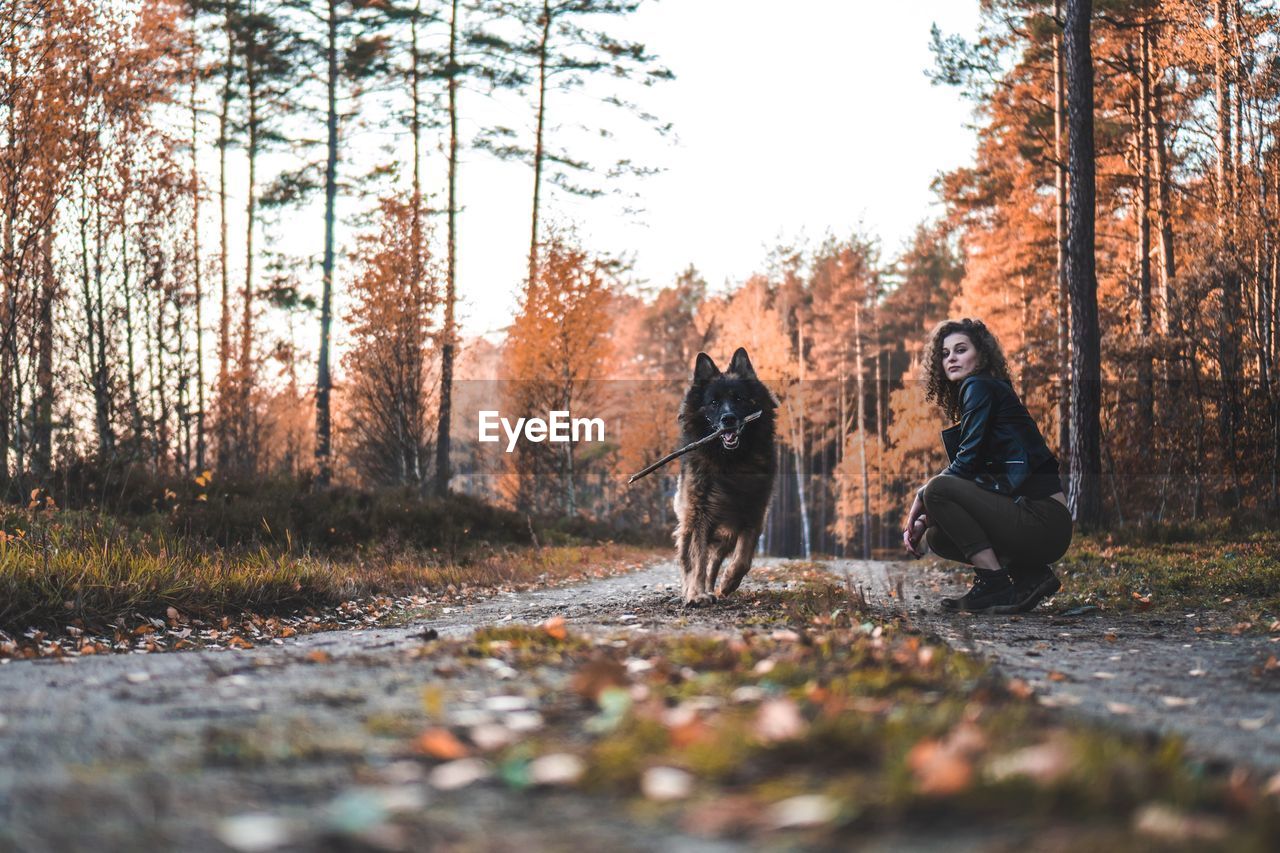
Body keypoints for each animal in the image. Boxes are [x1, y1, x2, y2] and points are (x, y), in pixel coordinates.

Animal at [670, 345, 778, 604]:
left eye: (738, 398)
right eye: (713, 402)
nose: (728, 419)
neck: (731, 461)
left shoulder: (754, 511)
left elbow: (743, 559)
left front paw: (728, 583)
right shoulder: (699, 513)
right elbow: (697, 559)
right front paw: (696, 594)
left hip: (725, 535)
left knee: (715, 561)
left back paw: (714, 588)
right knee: (691, 559)